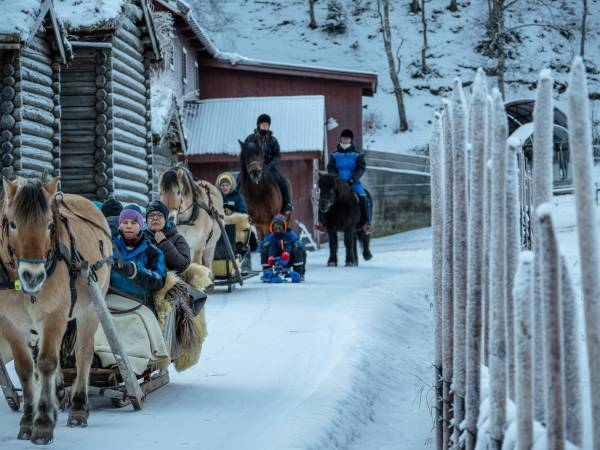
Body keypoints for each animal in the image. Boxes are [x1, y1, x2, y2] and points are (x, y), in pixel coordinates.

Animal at [0, 176, 112, 442]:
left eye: (50, 225)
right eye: (12, 223)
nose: (33, 276)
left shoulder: (53, 316)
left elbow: (47, 363)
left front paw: (42, 424)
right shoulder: (10, 323)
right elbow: (25, 369)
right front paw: (28, 421)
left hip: (92, 306)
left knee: (83, 353)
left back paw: (79, 407)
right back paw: (59, 395)